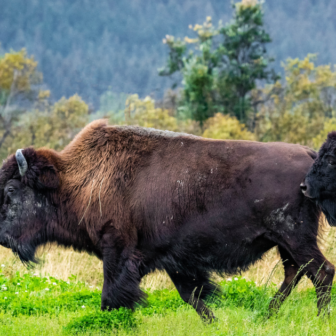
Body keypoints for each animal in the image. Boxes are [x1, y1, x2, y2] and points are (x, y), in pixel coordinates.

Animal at [0, 119, 334, 318]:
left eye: (11, 190)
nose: (2, 237)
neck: (81, 180)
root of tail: (308, 155)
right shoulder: (172, 258)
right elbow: (192, 295)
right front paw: (215, 322)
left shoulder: (117, 250)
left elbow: (112, 296)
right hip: (284, 242)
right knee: (295, 273)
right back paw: (266, 316)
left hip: (295, 237)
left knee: (321, 272)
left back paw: (318, 318)